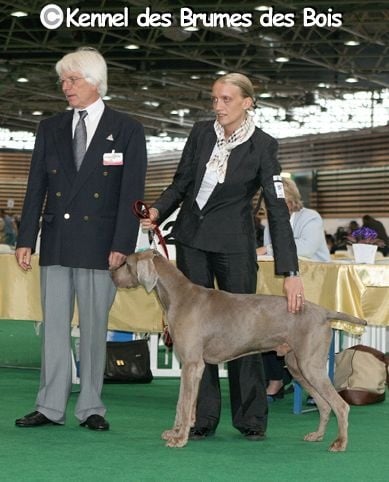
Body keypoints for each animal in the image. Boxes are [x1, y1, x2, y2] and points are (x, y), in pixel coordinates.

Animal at [110, 250, 366, 450]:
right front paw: (176, 432)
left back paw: (339, 443)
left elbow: (184, 404)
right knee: (324, 404)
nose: (111, 272)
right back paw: (317, 435)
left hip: (310, 365)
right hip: (297, 366)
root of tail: (323, 311)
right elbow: (183, 402)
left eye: (126, 264)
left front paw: (179, 439)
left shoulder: (193, 364)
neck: (179, 297)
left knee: (340, 405)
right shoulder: (189, 366)